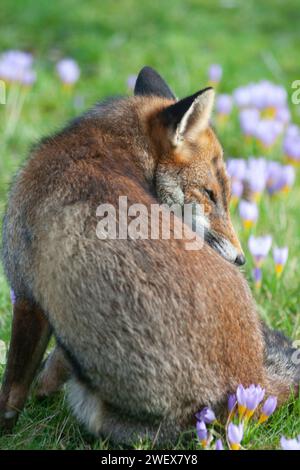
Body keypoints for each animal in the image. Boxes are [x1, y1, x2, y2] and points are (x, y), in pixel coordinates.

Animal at [0, 67, 298, 444]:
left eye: (227, 196)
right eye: (209, 194)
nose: (242, 260)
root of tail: (252, 384)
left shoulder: (27, 297)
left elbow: (13, 391)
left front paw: (8, 427)